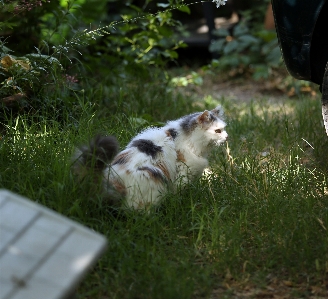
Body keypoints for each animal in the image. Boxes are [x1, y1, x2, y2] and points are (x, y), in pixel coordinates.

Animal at [72, 105, 228, 211]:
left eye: (224, 129)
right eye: (217, 131)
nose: (226, 137)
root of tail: (110, 182)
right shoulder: (182, 175)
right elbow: (179, 192)